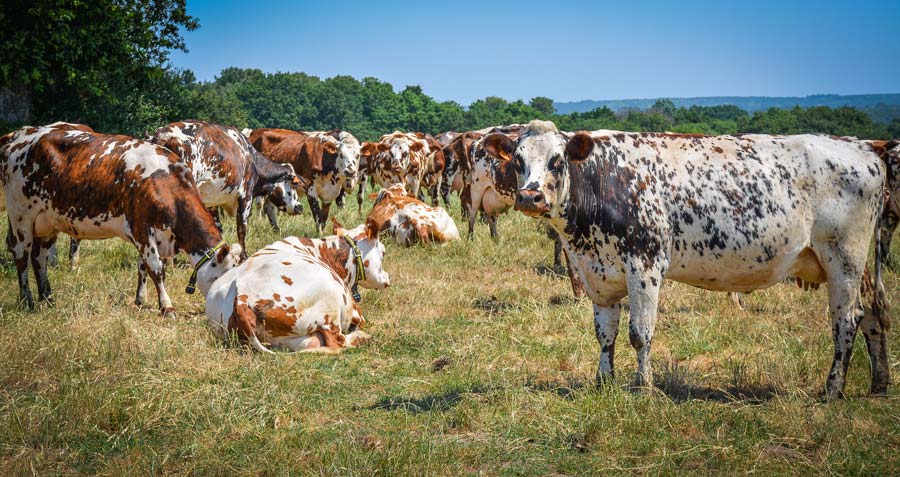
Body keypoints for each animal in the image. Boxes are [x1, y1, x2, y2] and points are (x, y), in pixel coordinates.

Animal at [0, 122, 243, 316]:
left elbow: (143, 267)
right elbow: (156, 269)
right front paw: (167, 306)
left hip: (47, 223)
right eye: (220, 278)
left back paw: (47, 298)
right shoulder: (141, 228)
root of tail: (17, 136)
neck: (164, 182)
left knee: (39, 258)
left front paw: (141, 299)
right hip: (21, 217)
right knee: (21, 255)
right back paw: (28, 300)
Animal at [151, 121, 306, 258]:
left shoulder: (212, 201)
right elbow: (242, 228)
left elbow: (218, 227)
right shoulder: (245, 195)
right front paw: (244, 255)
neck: (252, 159)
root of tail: (164, 134)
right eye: (293, 184)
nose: (300, 207)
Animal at [207, 217, 390, 354]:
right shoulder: (353, 310)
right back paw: (363, 337)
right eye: (383, 252)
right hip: (329, 299)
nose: (388, 277)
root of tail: (241, 299)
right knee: (338, 341)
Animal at [512, 120, 892, 398]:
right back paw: (880, 384)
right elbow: (606, 334)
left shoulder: (645, 266)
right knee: (873, 312)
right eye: (518, 160)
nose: (530, 196)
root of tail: (864, 148)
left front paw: (643, 388)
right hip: (855, 265)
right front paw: (603, 383)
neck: (604, 178)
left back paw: (832, 390)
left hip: (843, 258)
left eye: (557, 160)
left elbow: (640, 333)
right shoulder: (599, 276)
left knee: (847, 320)